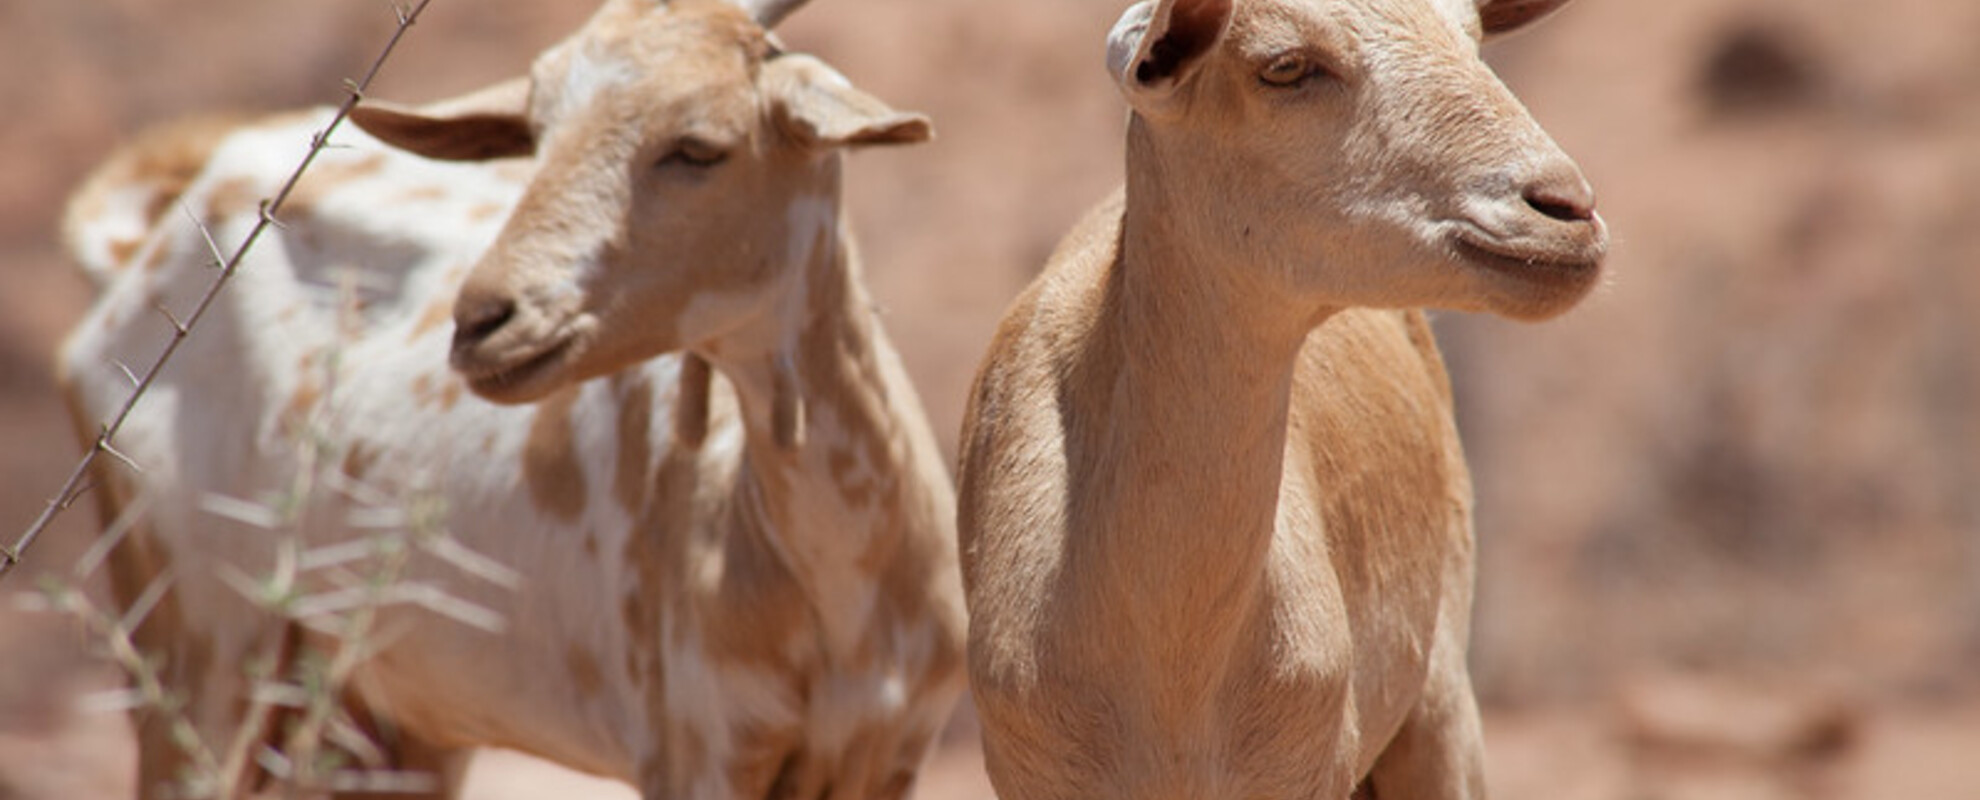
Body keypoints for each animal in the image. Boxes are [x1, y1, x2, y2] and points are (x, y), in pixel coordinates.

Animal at [57, 1, 962, 800]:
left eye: (699, 146)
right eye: (536, 135)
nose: (484, 321)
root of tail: (139, 239)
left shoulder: (889, 754)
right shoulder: (699, 746)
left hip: (385, 711)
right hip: (196, 638)